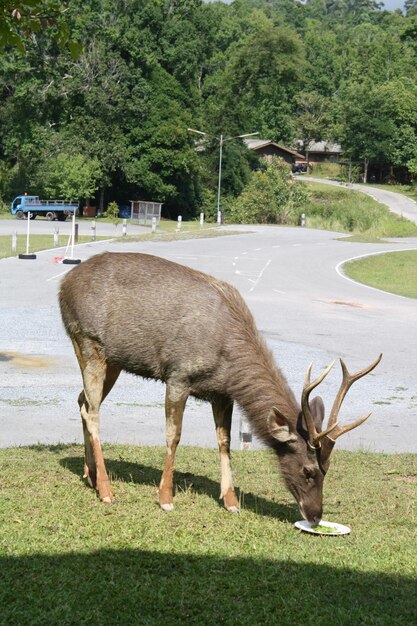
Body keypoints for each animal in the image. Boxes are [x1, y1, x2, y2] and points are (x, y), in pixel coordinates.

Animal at [59, 251, 384, 520]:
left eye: (328, 469)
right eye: (308, 469)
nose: (315, 515)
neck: (228, 358)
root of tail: (63, 284)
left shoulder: (222, 393)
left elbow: (224, 441)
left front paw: (231, 501)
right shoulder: (178, 374)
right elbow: (174, 436)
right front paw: (165, 498)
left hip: (111, 360)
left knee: (82, 400)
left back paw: (89, 475)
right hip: (87, 340)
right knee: (93, 411)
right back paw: (106, 490)